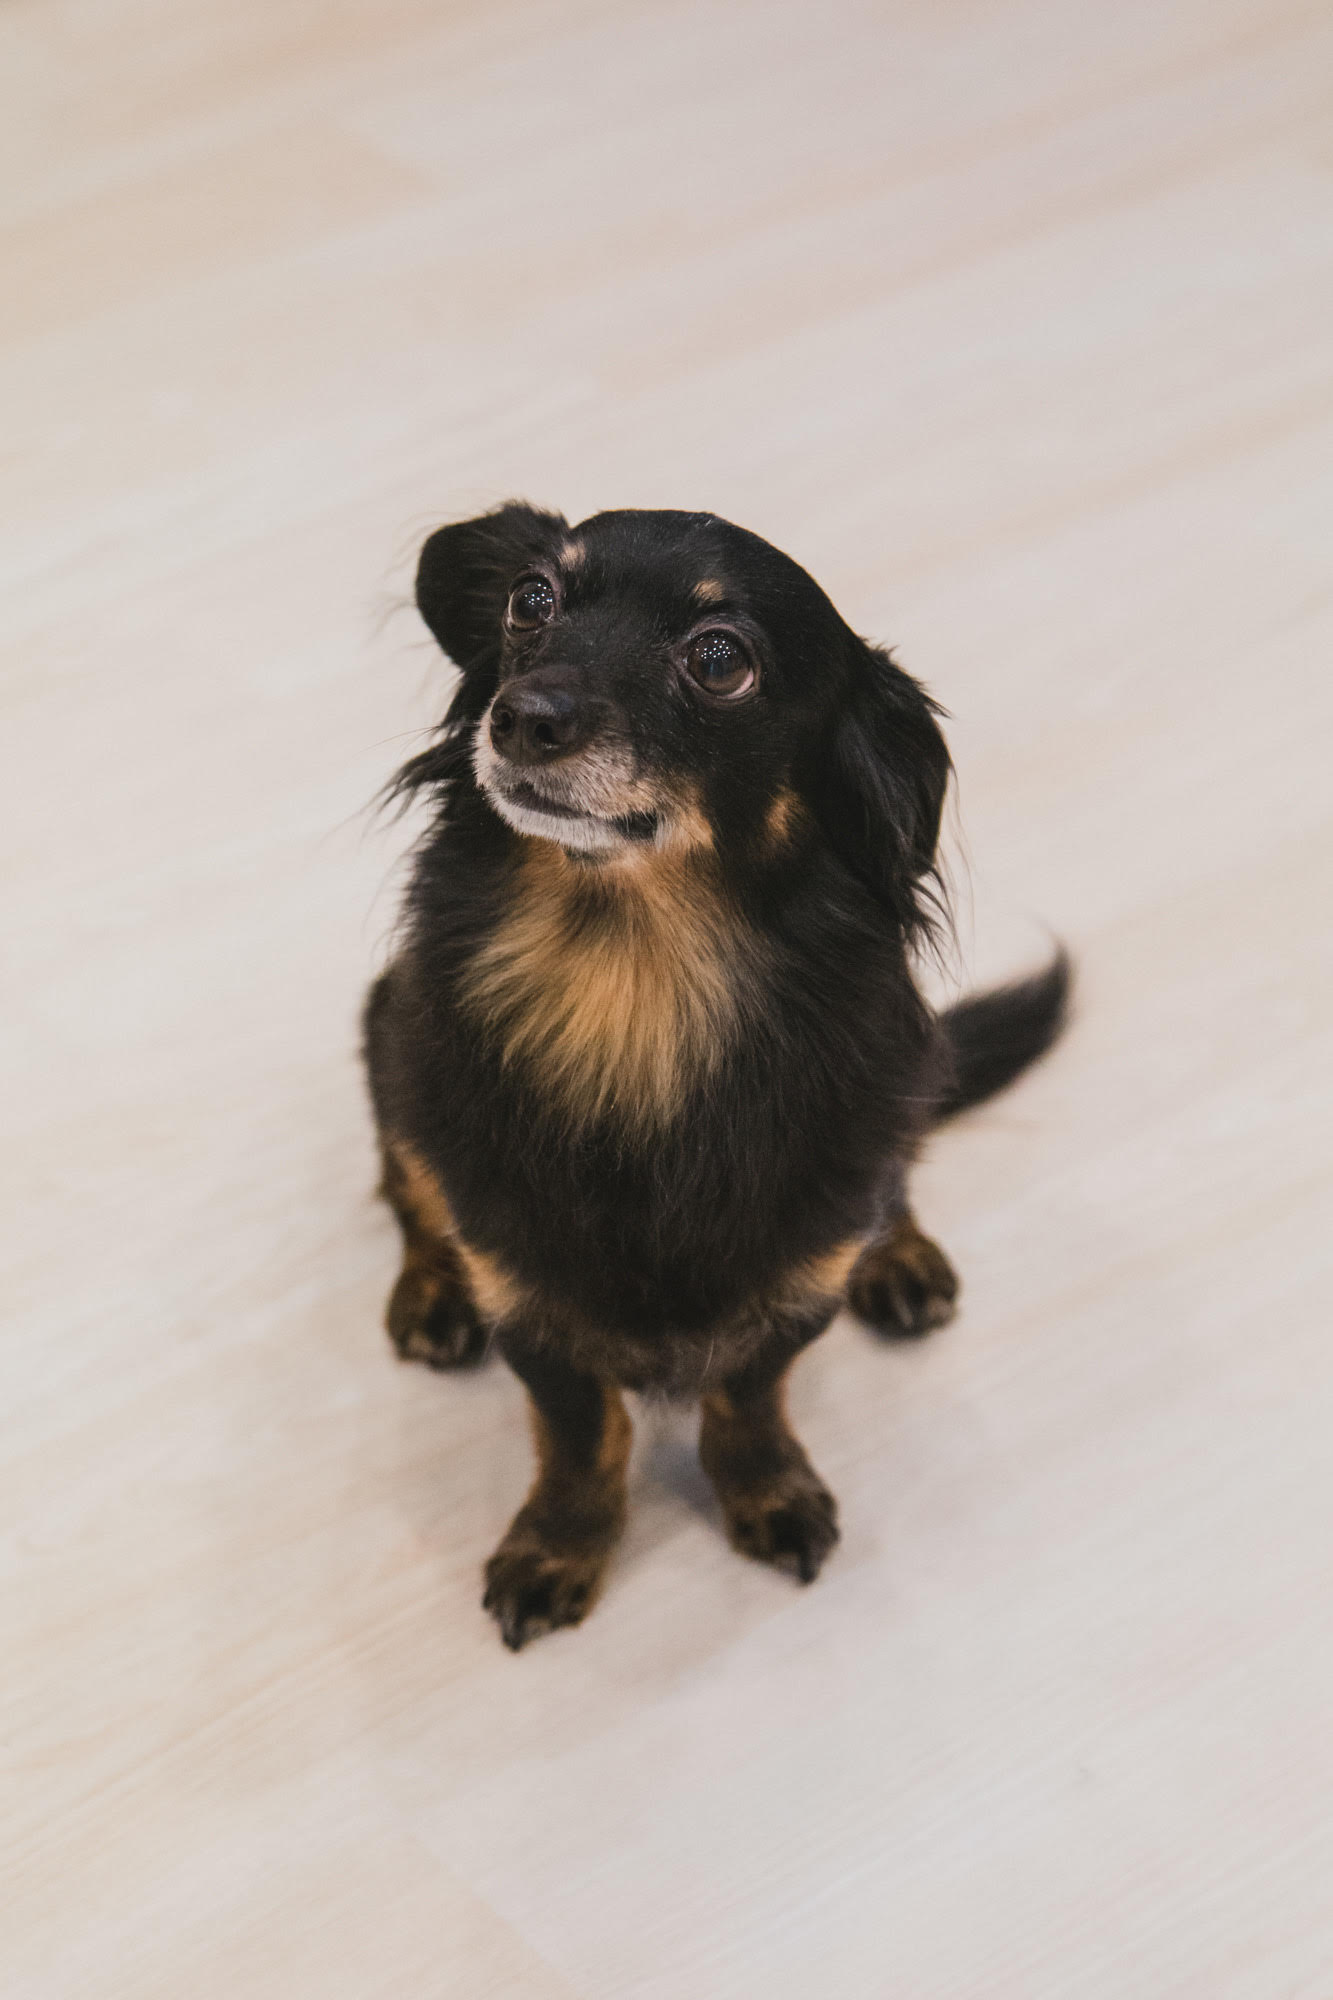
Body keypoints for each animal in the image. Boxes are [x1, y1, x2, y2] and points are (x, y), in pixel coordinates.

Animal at [358, 508, 1064, 1648]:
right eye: (530, 601)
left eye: (719, 658)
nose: (519, 716)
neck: (633, 998)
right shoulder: (529, 1306)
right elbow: (581, 1434)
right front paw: (560, 1546)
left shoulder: (793, 1290)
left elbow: (746, 1398)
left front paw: (767, 1491)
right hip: (387, 1037)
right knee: (405, 1180)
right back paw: (430, 1285)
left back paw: (900, 1252)